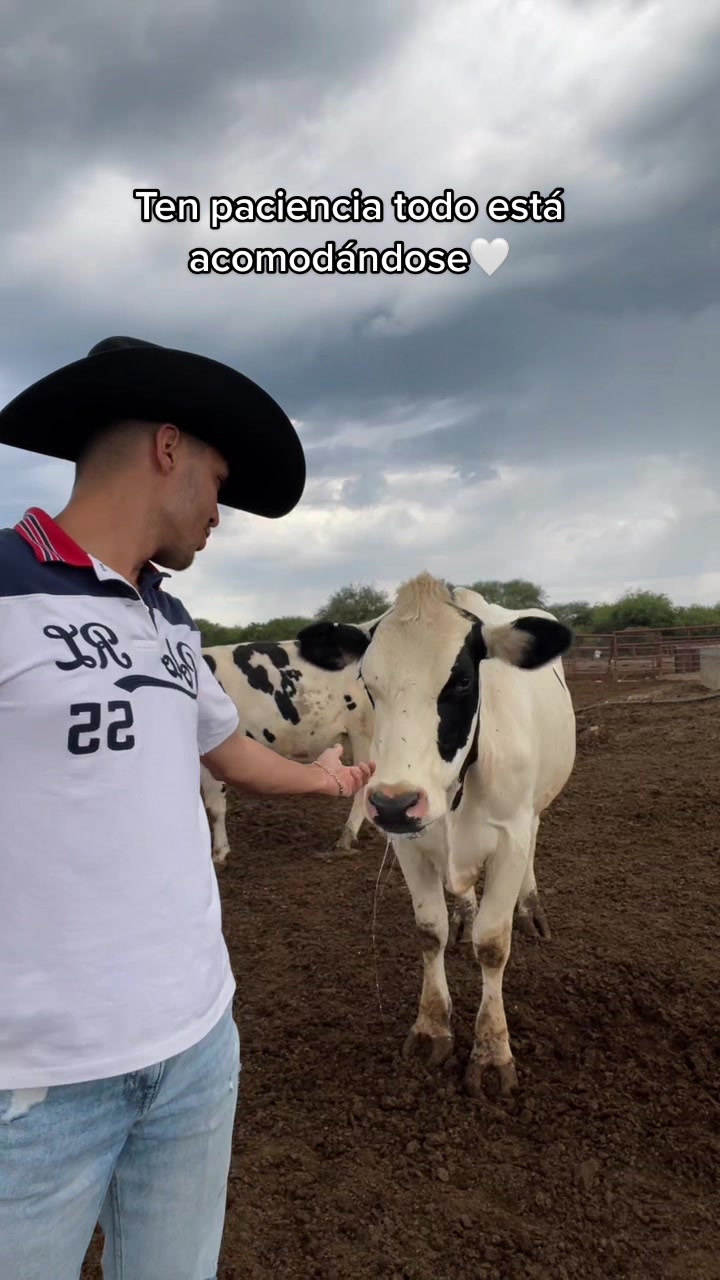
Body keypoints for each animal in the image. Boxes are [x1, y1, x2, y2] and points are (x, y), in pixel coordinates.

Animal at [295, 572, 576, 1097]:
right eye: (368, 684)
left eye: (462, 680)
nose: (392, 803)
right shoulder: (408, 844)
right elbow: (430, 931)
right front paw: (430, 1028)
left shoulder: (510, 837)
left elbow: (493, 944)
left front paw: (491, 1052)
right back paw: (464, 909)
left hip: (535, 808)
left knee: (534, 840)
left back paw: (531, 908)